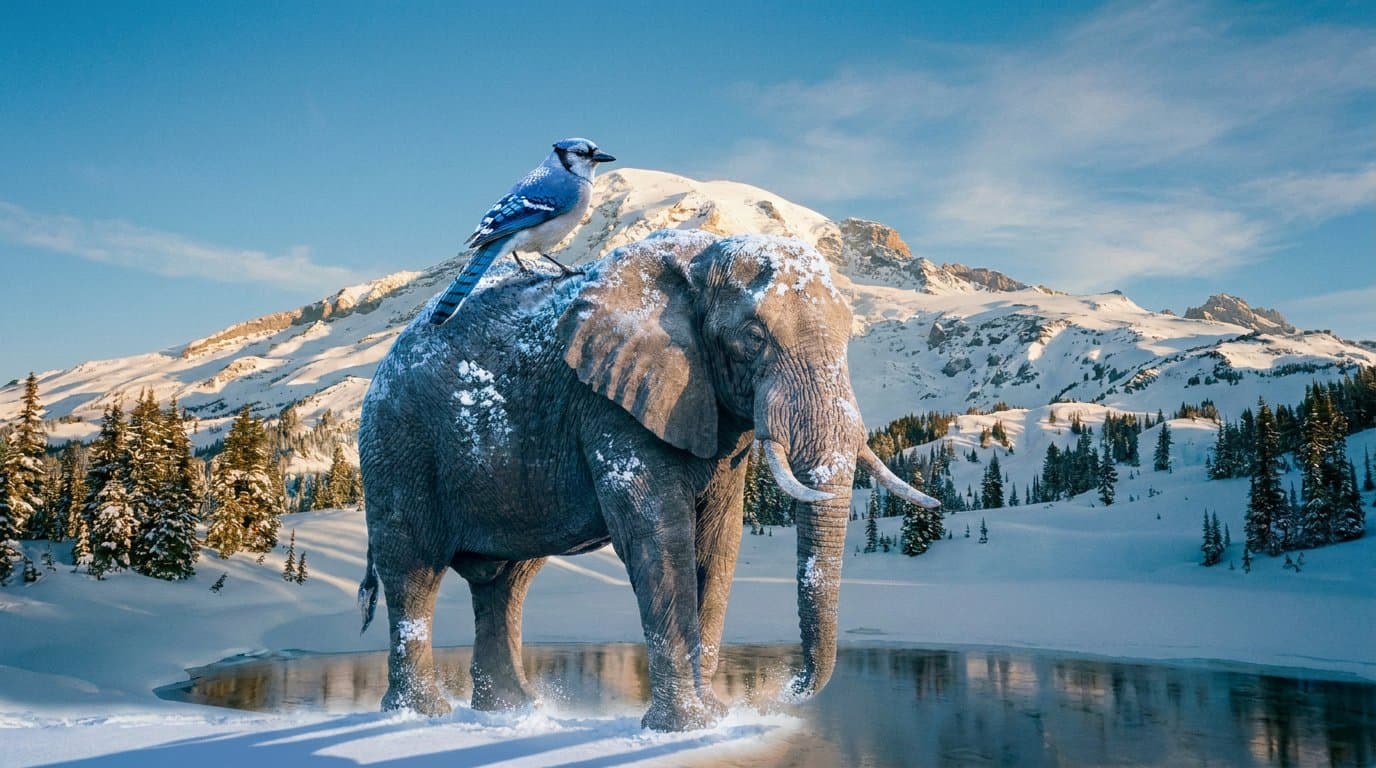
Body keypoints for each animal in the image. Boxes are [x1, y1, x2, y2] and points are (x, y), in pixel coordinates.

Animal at [356, 229, 938, 731]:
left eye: (849, 336)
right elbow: (658, 535)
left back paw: (511, 712)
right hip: (396, 444)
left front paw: (713, 720)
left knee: (507, 583)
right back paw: (422, 717)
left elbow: (718, 542)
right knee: (413, 571)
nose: (778, 690)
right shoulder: (611, 402)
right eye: (753, 338)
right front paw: (685, 727)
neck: (704, 256)